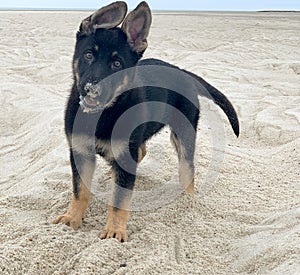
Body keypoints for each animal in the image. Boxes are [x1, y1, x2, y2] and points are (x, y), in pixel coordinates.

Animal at [52, 0, 239, 242]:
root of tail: (183, 72)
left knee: (187, 169)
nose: (92, 90)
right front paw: (71, 218)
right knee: (142, 152)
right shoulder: (80, 151)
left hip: (183, 134)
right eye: (89, 55)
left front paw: (114, 231)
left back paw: (186, 202)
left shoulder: (123, 154)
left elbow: (119, 200)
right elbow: (79, 191)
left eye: (117, 63)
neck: (102, 114)